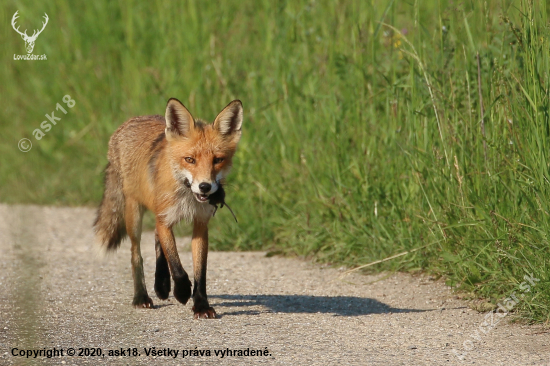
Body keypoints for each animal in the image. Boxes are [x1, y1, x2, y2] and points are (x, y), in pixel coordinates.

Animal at [94, 97, 243, 318]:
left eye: (218, 160)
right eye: (190, 159)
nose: (205, 187)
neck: (186, 197)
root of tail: (129, 122)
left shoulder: (200, 224)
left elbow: (200, 271)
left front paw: (201, 305)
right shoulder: (165, 219)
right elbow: (177, 266)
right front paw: (182, 292)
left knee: (157, 241)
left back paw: (162, 285)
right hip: (134, 214)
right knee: (136, 254)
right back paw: (142, 296)